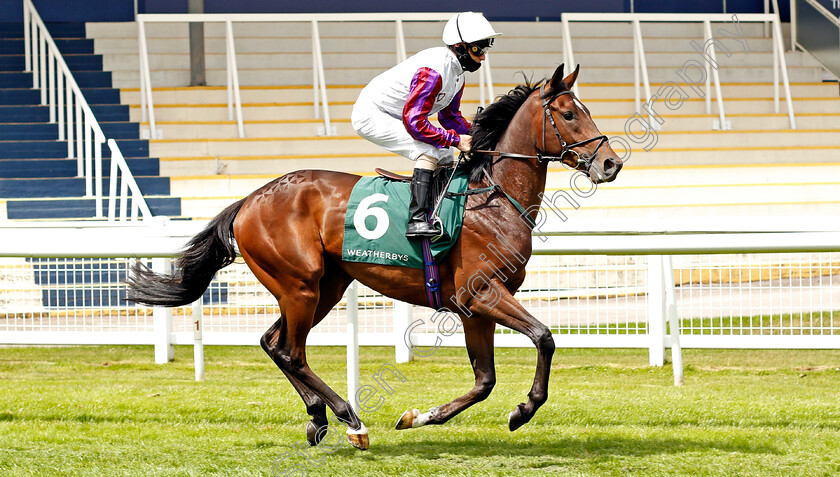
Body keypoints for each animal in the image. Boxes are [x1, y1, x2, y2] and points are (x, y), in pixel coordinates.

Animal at [128, 64, 620, 450]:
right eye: (569, 114)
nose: (611, 164)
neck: (491, 198)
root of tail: (249, 199)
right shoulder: (480, 294)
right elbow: (544, 337)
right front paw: (524, 409)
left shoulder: (472, 307)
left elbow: (484, 382)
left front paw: (420, 416)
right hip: (300, 285)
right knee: (290, 350)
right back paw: (349, 418)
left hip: (325, 286)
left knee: (273, 342)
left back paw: (319, 417)